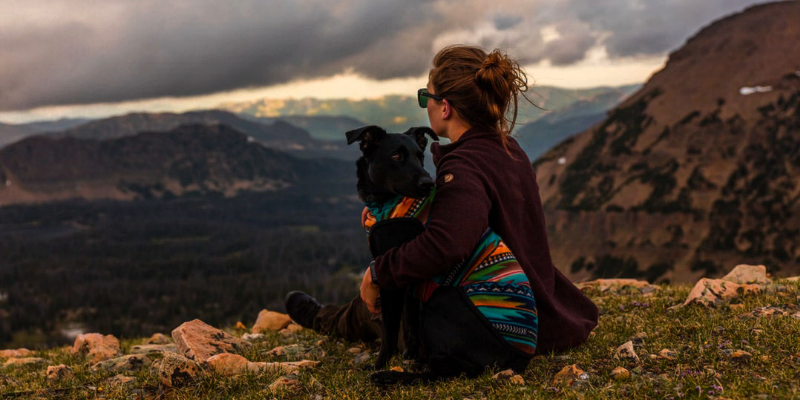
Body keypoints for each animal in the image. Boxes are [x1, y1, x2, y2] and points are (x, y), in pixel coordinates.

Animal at [344, 125, 438, 372]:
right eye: (396, 156)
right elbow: (409, 323)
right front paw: (409, 355)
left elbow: (390, 329)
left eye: (420, 156)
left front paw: (380, 364)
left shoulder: (391, 274)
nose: (429, 184)